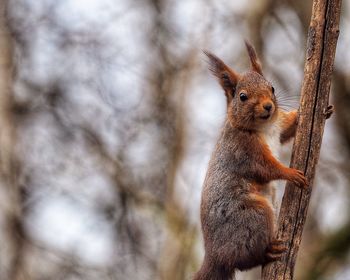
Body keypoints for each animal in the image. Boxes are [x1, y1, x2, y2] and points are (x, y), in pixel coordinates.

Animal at [194, 42, 308, 280]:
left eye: (272, 87)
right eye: (242, 97)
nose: (268, 106)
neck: (263, 127)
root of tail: (214, 256)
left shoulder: (278, 128)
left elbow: (288, 128)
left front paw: (322, 110)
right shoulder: (244, 152)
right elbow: (267, 168)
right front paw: (291, 173)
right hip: (253, 215)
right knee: (245, 260)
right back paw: (268, 252)